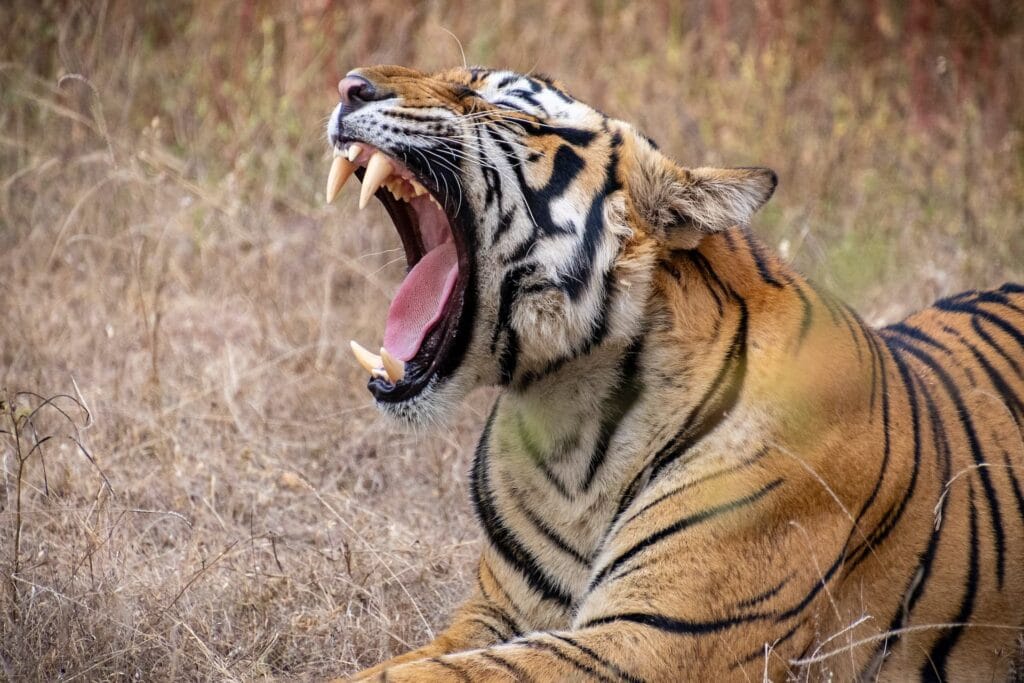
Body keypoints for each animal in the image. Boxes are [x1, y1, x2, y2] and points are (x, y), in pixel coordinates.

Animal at [323, 64, 1024, 682]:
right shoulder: (494, 615)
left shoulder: (659, 639)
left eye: (501, 102)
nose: (349, 85)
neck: (566, 425)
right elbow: (403, 665)